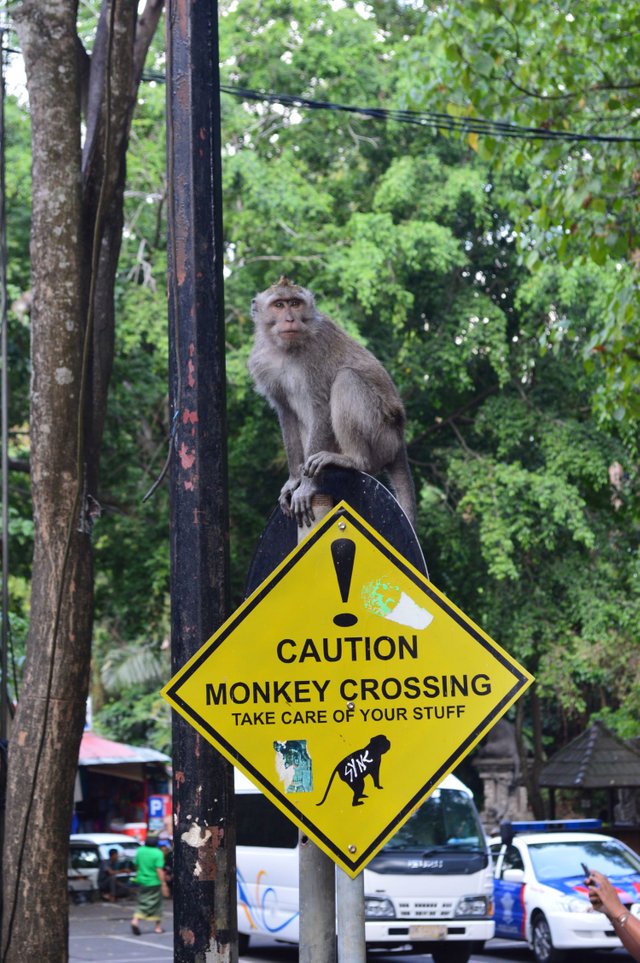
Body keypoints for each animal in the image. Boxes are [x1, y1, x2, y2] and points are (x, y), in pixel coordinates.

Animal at [248, 276, 418, 528]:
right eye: (279, 305)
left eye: (295, 303)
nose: (290, 319)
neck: (286, 350)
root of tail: (399, 438)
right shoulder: (263, 363)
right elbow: (286, 413)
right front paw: (294, 479)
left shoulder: (317, 351)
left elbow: (320, 406)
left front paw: (306, 486)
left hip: (382, 435)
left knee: (346, 379)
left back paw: (353, 460)